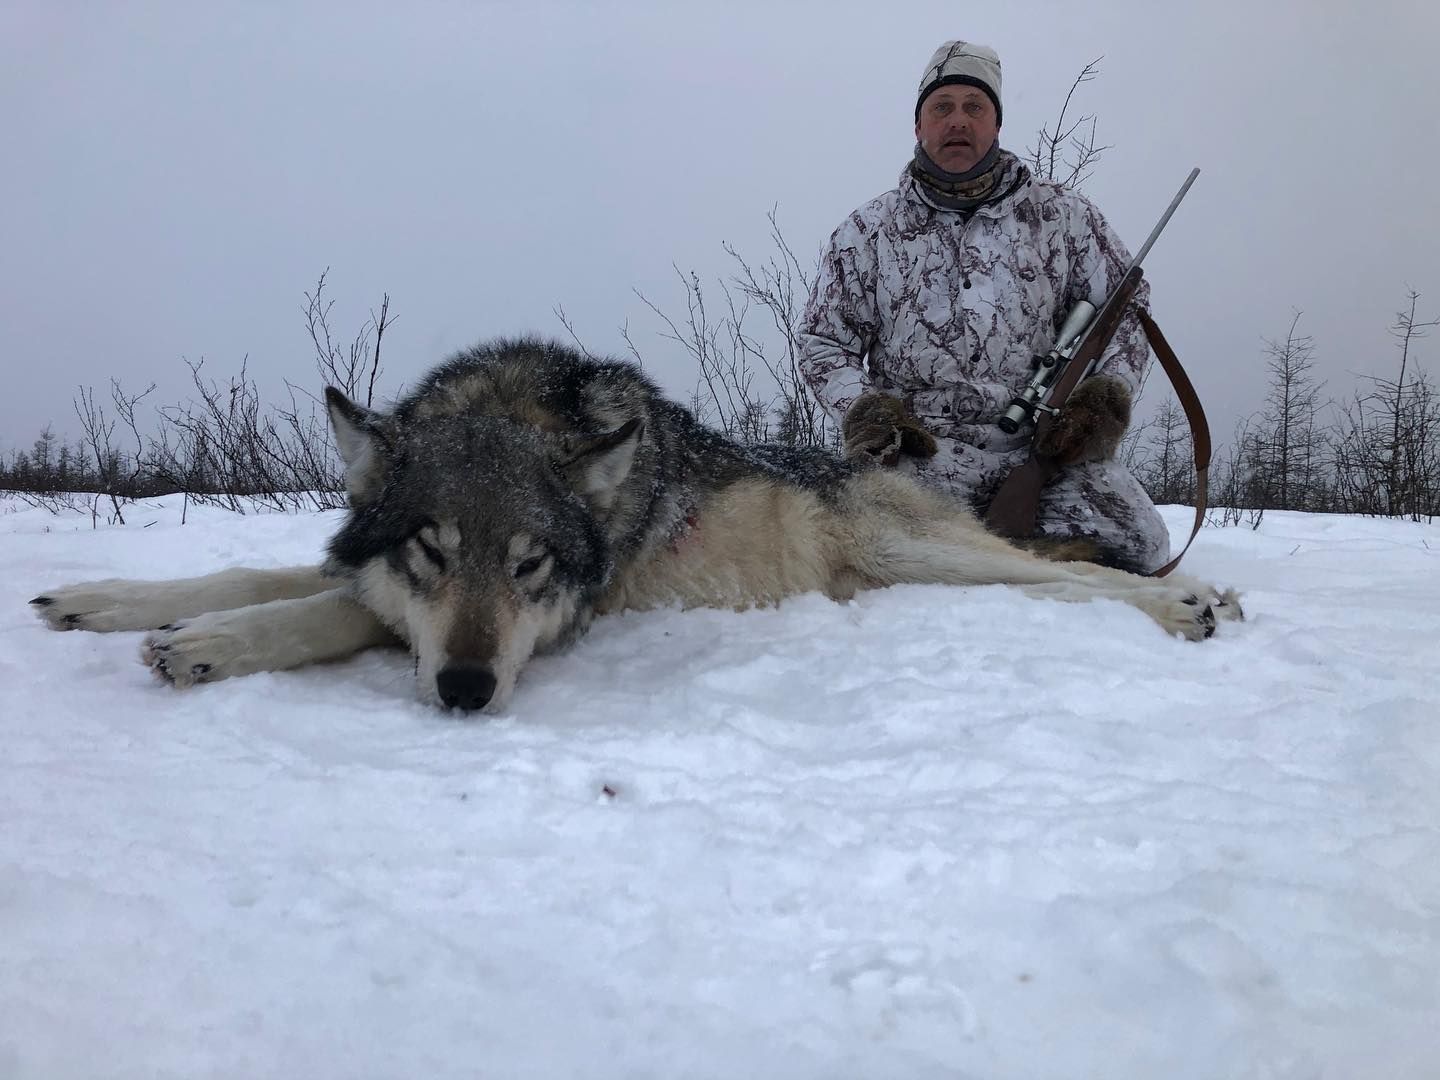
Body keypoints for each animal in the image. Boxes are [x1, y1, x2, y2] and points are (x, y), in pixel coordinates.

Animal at [25, 336, 1238, 711]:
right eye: (433, 550)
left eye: (530, 566)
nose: (466, 692)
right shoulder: (372, 568)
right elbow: (254, 571)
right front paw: (97, 598)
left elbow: (320, 612)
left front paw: (200, 648)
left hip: (907, 548)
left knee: (1078, 580)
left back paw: (1192, 600)